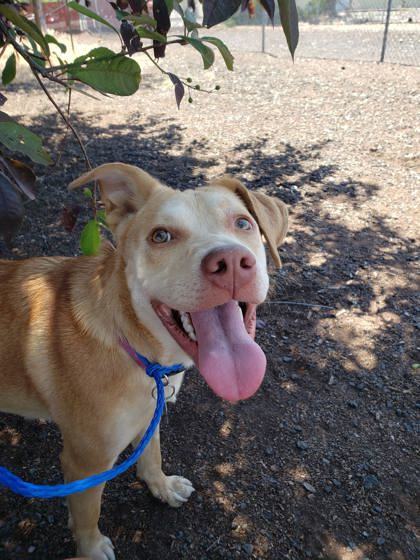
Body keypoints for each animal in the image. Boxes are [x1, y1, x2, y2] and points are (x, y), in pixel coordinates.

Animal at [0, 163, 288, 560]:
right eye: (161, 236)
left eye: (243, 223)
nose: (230, 262)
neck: (141, 350)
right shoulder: (84, 462)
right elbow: (88, 515)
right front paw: (91, 549)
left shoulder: (151, 412)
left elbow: (152, 454)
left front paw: (161, 486)